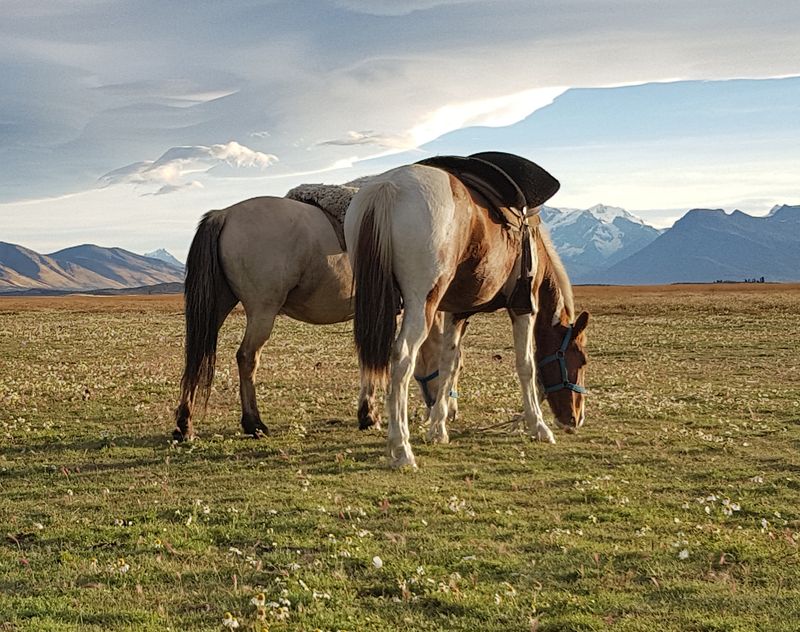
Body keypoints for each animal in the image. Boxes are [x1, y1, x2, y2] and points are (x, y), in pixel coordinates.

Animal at [173, 193, 456, 441]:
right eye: (454, 365)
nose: (451, 412)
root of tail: (224, 214)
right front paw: (370, 416)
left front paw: (366, 415)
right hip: (262, 311)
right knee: (246, 357)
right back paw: (254, 424)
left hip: (217, 306)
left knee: (195, 357)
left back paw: (185, 425)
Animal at [344, 157, 589, 468]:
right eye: (581, 360)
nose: (576, 419)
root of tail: (387, 187)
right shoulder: (523, 307)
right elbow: (526, 365)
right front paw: (539, 426)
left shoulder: (456, 312)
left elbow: (449, 364)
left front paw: (438, 429)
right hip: (421, 304)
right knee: (401, 359)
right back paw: (401, 448)